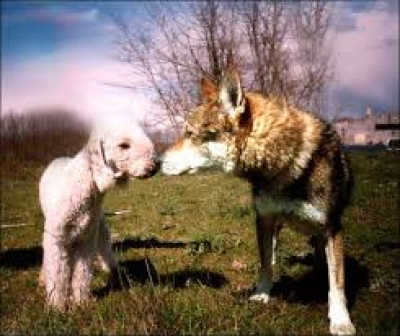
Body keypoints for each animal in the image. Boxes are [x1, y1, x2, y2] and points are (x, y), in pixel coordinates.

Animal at [38, 117, 155, 310]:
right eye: (124, 145)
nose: (155, 166)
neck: (83, 184)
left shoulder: (87, 239)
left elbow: (82, 272)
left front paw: (81, 301)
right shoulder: (57, 238)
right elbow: (58, 272)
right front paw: (57, 306)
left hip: (100, 226)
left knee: (105, 250)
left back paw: (114, 269)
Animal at [161, 67, 354, 334]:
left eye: (189, 133)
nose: (156, 161)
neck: (284, 165)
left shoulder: (331, 229)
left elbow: (336, 283)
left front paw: (341, 321)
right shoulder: (264, 219)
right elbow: (265, 264)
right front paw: (262, 294)